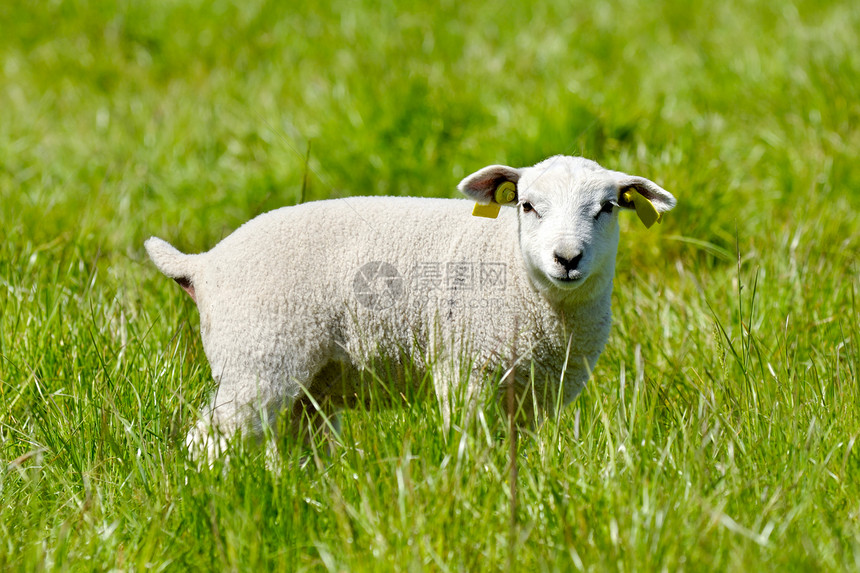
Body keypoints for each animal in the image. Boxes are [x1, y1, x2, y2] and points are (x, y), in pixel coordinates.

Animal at [144, 154, 676, 458]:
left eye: (608, 207)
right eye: (526, 205)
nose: (567, 259)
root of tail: (202, 264)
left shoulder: (540, 389)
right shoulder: (465, 365)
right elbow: (468, 440)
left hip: (305, 385)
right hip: (257, 358)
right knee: (208, 441)